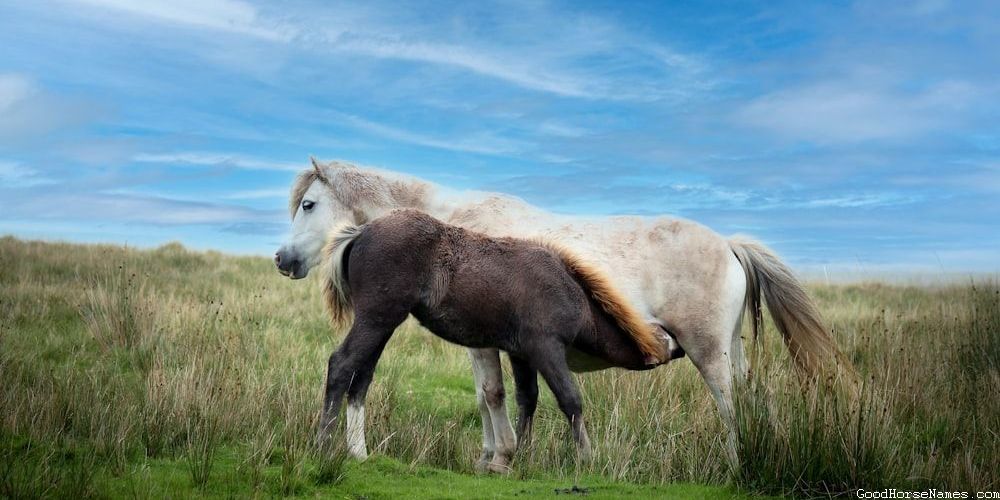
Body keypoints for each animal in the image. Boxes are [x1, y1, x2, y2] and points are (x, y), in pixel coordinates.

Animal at [315, 209, 684, 463]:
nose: (681, 348)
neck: (571, 292)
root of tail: (362, 230)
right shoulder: (546, 348)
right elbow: (570, 399)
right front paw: (586, 458)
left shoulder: (520, 354)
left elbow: (527, 399)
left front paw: (518, 457)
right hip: (376, 319)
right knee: (341, 364)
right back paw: (323, 446)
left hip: (383, 324)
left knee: (362, 377)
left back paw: (359, 452)